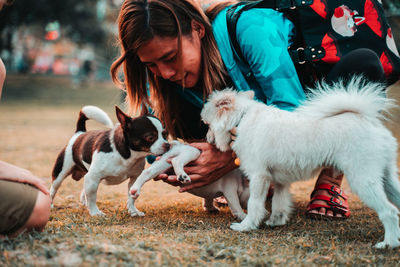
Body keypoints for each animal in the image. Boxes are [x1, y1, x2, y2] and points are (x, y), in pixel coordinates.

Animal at [202, 77, 400, 249]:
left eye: (207, 124)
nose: (207, 138)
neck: (242, 119)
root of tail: (366, 120)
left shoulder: (259, 177)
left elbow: (254, 203)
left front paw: (246, 226)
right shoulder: (279, 181)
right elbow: (279, 202)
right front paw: (276, 221)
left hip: (363, 180)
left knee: (389, 212)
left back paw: (388, 244)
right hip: (386, 177)